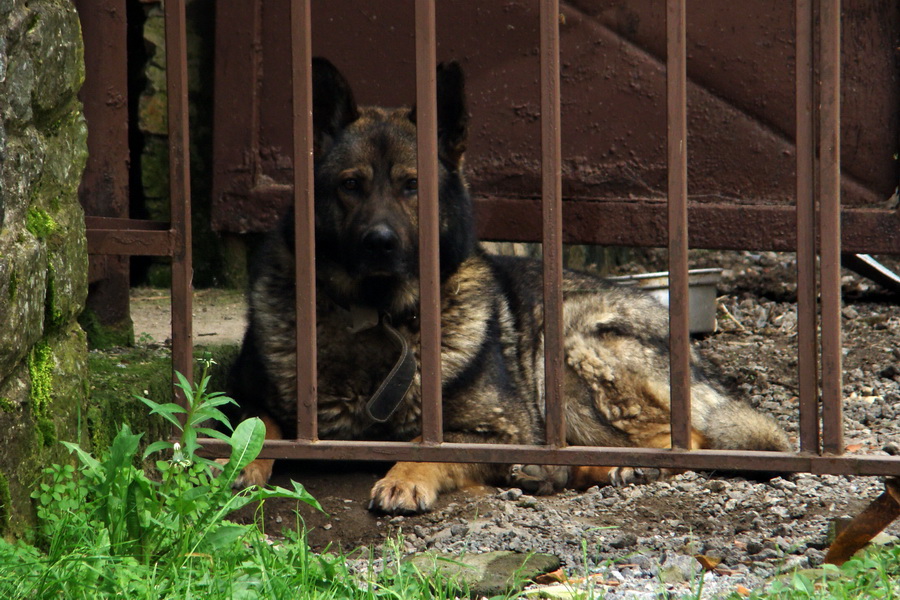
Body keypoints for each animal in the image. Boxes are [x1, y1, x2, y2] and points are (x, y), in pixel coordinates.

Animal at [229, 58, 792, 512]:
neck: (378, 315)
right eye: (350, 185)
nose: (380, 243)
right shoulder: (246, 396)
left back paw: (622, 465)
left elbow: (430, 448)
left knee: (685, 439)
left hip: (568, 344)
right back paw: (556, 471)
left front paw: (406, 477)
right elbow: (256, 428)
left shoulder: (500, 429)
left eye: (413, 186)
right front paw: (235, 464)